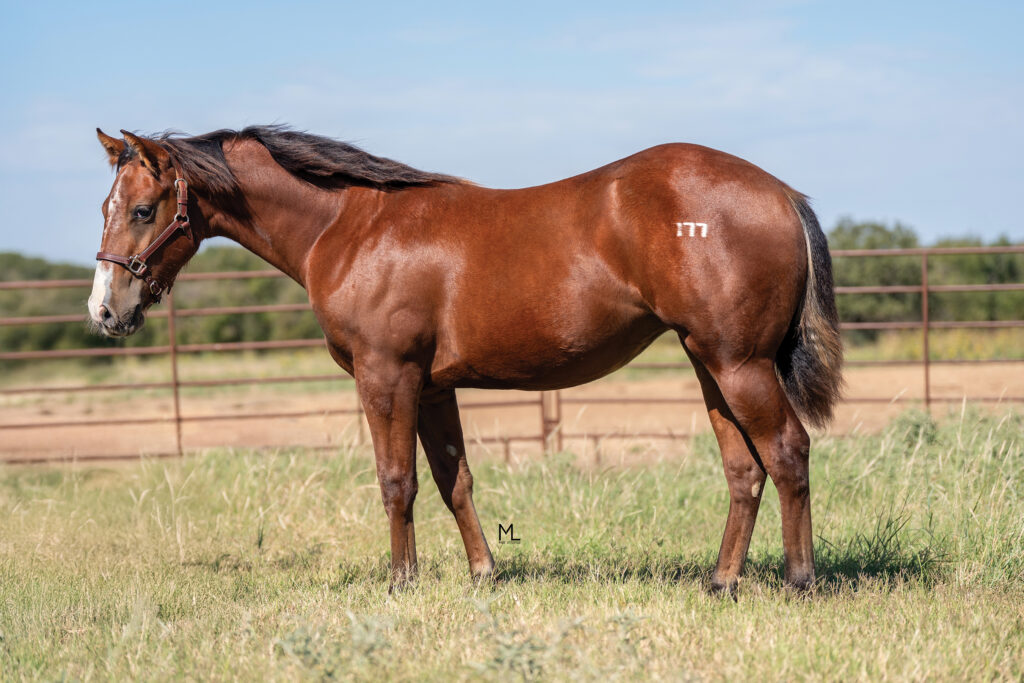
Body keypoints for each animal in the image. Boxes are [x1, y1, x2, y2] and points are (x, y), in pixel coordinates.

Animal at [88, 125, 842, 595]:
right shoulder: (430, 387)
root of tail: (781, 193)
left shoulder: (387, 375)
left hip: (739, 363)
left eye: (145, 209)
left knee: (787, 451)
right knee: (745, 470)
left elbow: (397, 481)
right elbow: (455, 480)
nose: (104, 310)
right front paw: (484, 574)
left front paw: (401, 581)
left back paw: (799, 581)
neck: (350, 225)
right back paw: (722, 581)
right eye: (106, 206)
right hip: (710, 363)